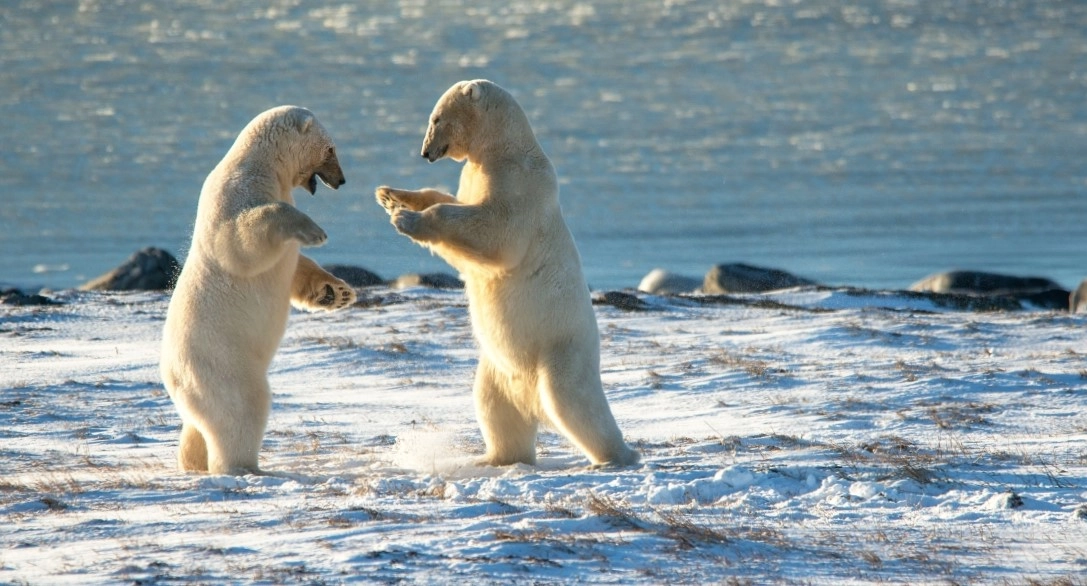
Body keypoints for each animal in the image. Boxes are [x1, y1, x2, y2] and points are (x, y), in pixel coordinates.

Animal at [161, 105, 356, 474]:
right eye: (331, 149)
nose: (341, 180)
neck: (261, 165)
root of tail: (172, 377)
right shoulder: (234, 193)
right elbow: (241, 240)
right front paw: (316, 231)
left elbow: (294, 267)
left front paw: (337, 293)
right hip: (222, 364)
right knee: (242, 409)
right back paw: (244, 467)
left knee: (197, 426)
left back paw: (193, 462)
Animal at [378, 79, 639, 467]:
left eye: (436, 118)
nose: (425, 152)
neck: (503, 147)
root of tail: (532, 401)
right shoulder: (476, 174)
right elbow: (457, 210)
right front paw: (391, 196)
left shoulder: (518, 182)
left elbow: (496, 232)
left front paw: (406, 218)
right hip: (498, 370)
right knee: (493, 406)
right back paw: (493, 458)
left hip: (560, 349)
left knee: (574, 402)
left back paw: (618, 455)